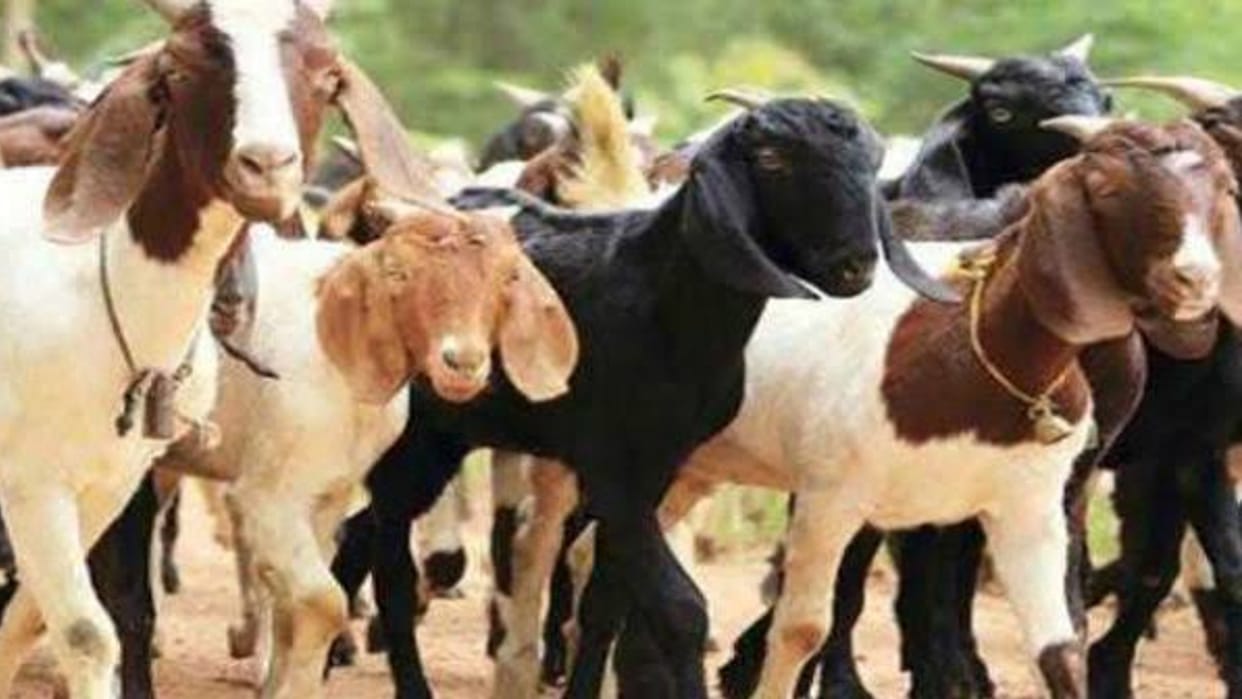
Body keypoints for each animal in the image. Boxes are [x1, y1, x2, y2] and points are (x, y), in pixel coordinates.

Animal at [0, 0, 448, 695]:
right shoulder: (33, 483)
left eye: (328, 77)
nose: (266, 166)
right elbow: (85, 630)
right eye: (180, 68)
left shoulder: (109, 485)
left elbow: (26, 621)